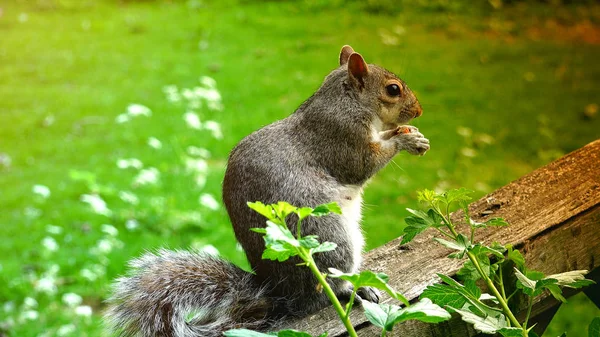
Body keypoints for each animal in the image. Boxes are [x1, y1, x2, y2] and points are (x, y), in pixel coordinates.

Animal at [105, 45, 428, 336]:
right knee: (328, 289)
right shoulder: (340, 138)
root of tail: (286, 297)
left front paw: (413, 135)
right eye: (393, 89)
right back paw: (353, 291)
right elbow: (363, 164)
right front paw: (405, 140)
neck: (346, 101)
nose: (419, 110)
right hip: (328, 239)